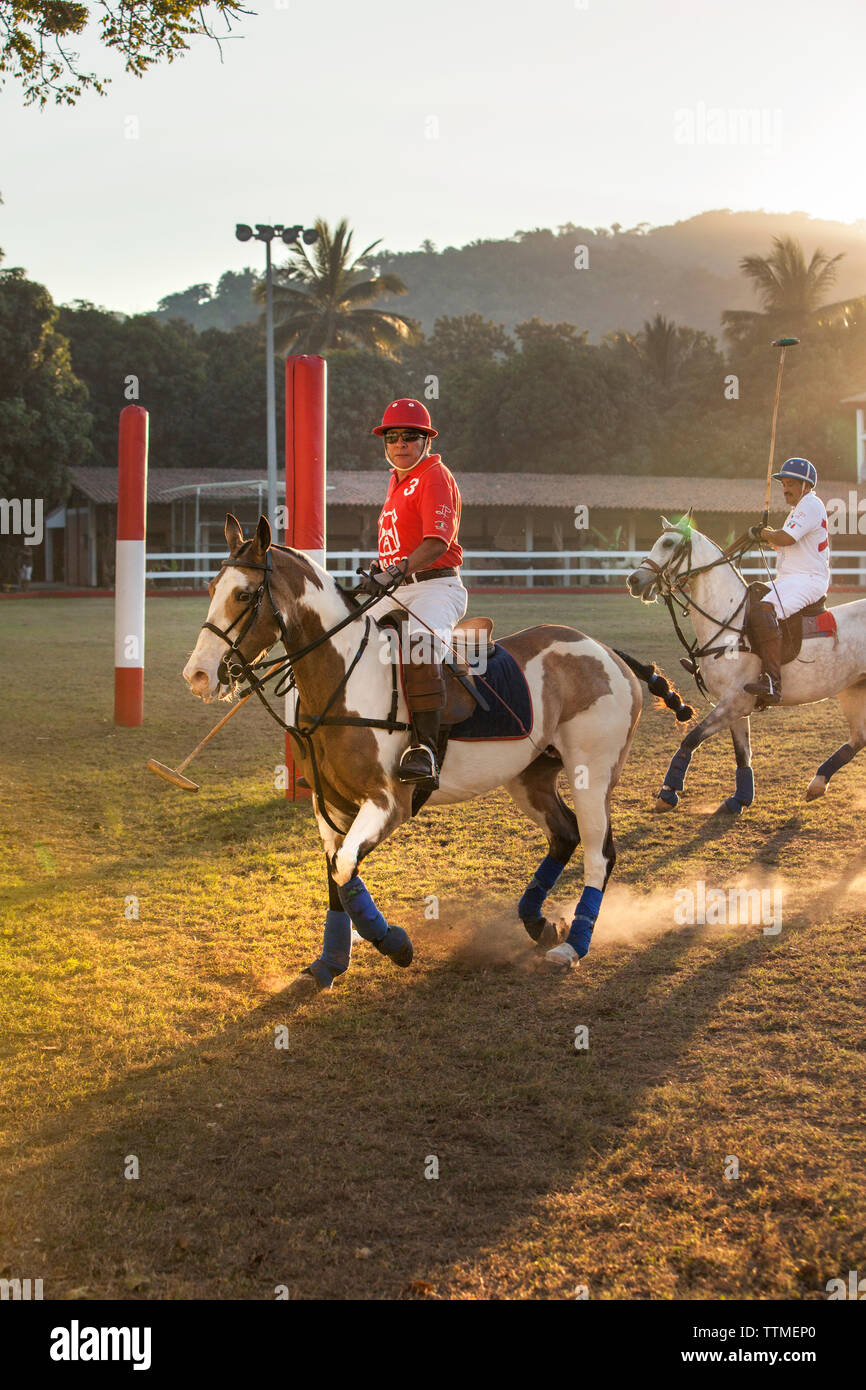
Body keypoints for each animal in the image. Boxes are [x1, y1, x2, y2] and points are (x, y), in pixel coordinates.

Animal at [183, 517, 692, 984]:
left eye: (244, 595)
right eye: (210, 587)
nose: (199, 675)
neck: (342, 678)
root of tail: (608, 650)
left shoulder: (389, 802)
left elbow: (346, 869)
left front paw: (394, 943)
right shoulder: (329, 803)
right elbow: (336, 875)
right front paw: (329, 963)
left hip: (593, 772)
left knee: (599, 852)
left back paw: (573, 946)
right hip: (530, 776)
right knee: (564, 834)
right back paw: (538, 923)